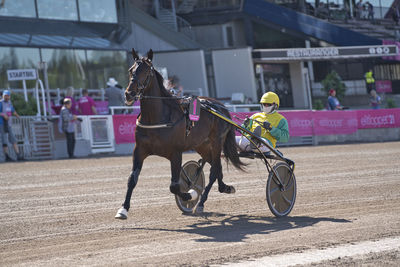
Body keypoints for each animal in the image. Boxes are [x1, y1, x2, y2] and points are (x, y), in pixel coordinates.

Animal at [114, 48, 245, 220]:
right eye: (131, 70)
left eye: (146, 71)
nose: (129, 94)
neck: (157, 117)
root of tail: (220, 106)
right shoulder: (139, 150)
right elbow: (132, 179)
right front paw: (123, 209)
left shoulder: (175, 153)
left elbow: (174, 186)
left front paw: (190, 195)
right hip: (201, 145)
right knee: (216, 167)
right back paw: (223, 188)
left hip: (217, 141)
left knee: (215, 169)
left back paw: (201, 201)